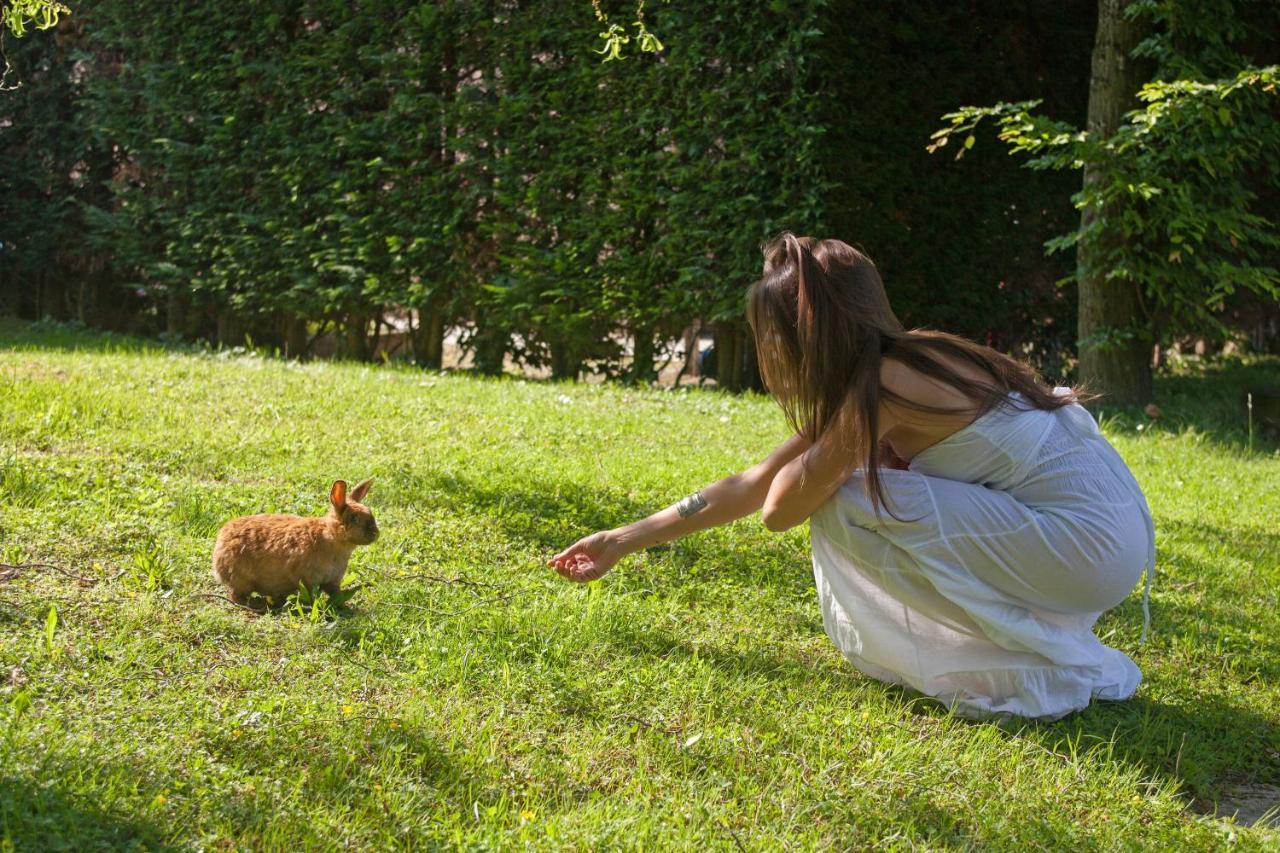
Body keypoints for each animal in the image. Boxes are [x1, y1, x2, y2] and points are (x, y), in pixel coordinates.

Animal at [209, 479, 376, 604]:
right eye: (354, 518)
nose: (375, 533)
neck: (331, 536)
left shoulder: (332, 581)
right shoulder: (309, 579)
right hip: (241, 578)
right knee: (235, 594)